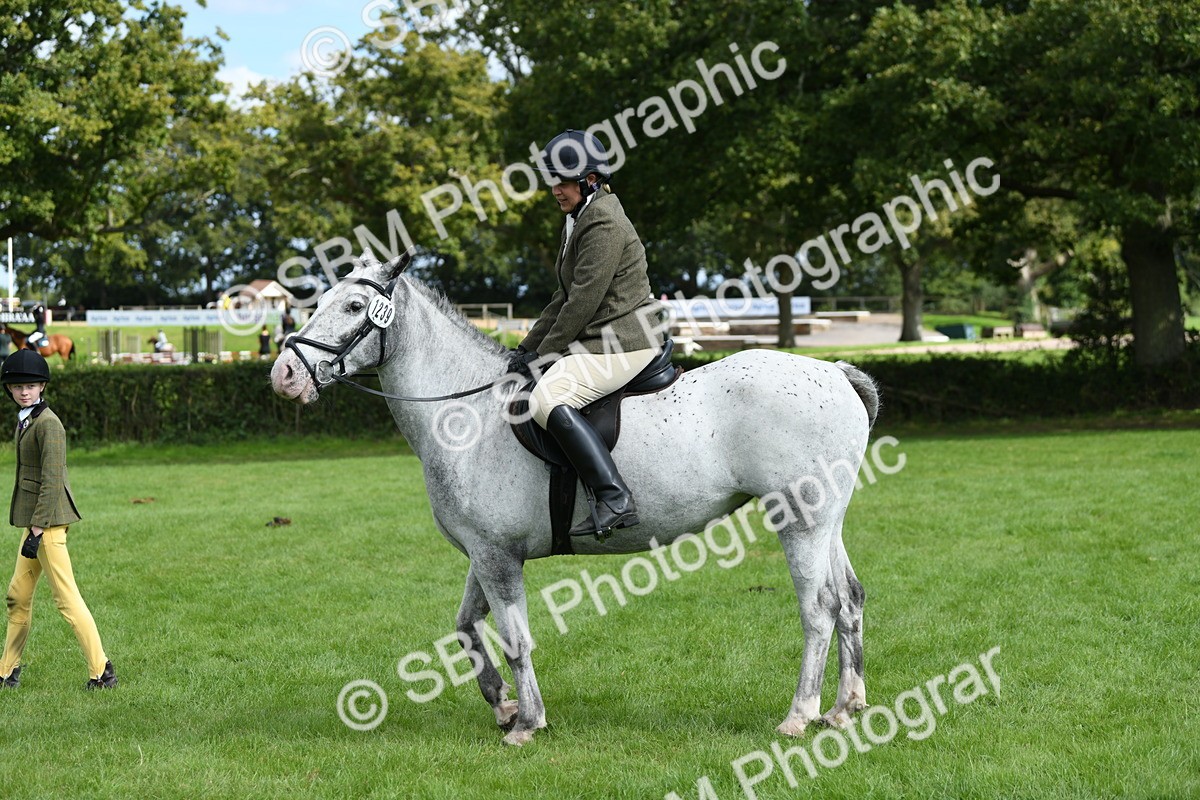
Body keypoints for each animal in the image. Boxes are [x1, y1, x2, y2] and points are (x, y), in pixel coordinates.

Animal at [271, 253, 878, 746]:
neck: (467, 415)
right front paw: (502, 705)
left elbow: (515, 639)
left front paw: (526, 723)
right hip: (827, 522)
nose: (283, 375)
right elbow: (466, 626)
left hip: (799, 522)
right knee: (849, 599)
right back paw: (844, 708)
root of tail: (834, 372)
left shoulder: (497, 557)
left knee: (819, 609)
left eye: (354, 306)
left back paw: (799, 715)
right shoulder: (486, 552)